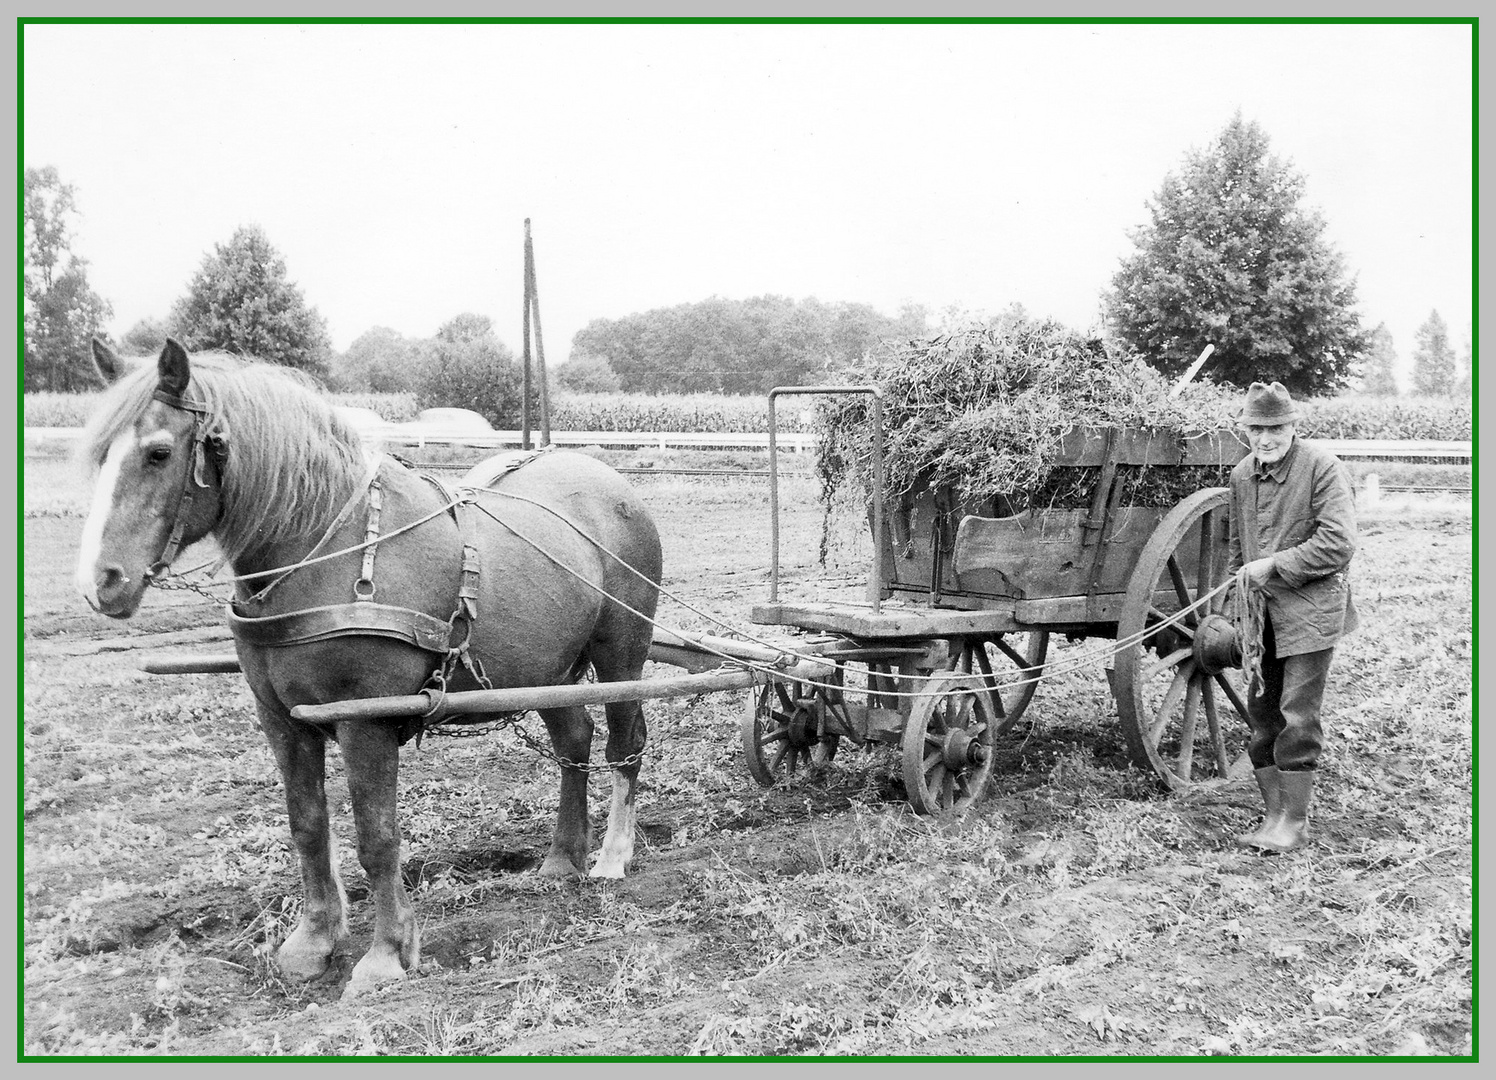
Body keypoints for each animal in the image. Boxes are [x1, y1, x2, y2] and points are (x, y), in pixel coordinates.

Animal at [75, 336, 661, 987]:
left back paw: (611, 855)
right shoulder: (281, 719)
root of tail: (611, 482)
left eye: (158, 452)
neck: (325, 552)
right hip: (548, 670)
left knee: (624, 744)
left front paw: (386, 956)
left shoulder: (366, 720)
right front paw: (312, 944)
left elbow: (377, 836)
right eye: (98, 455)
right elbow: (307, 825)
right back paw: (562, 859)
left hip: (622, 652)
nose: (101, 583)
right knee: (573, 740)